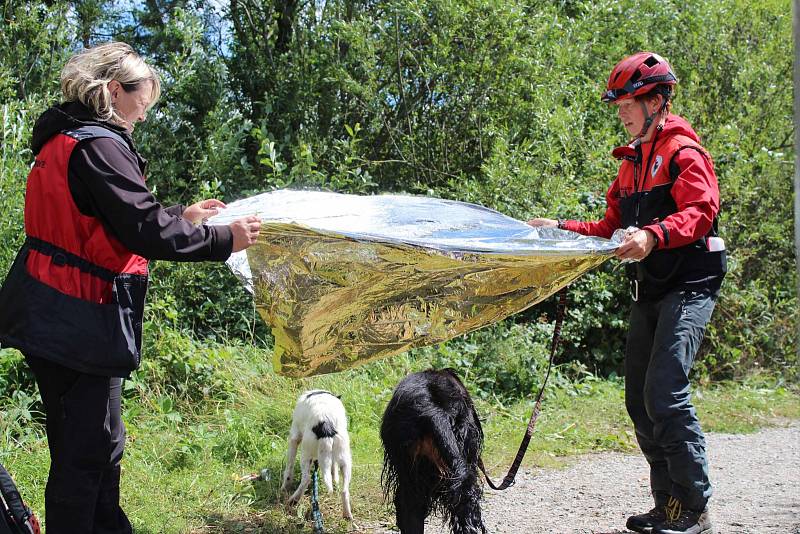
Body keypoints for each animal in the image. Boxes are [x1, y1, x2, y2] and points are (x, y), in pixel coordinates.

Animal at [282, 392, 354, 520]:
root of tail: (326, 424)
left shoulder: (294, 438)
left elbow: (289, 469)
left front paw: (285, 487)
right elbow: (333, 470)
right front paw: (335, 481)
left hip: (305, 455)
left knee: (306, 479)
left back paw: (293, 500)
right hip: (345, 460)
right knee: (345, 490)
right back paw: (347, 514)